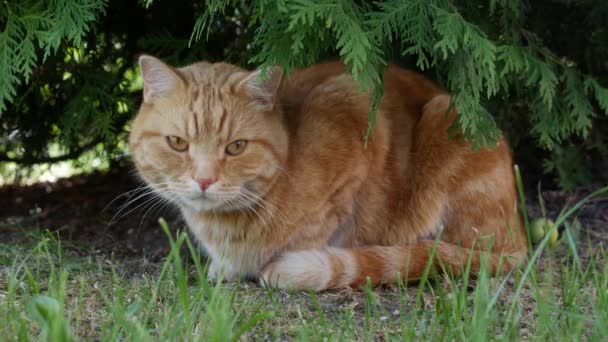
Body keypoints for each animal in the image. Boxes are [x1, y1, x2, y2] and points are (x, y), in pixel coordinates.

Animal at [131, 54, 528, 290]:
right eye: (178, 143)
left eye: (236, 147)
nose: (204, 180)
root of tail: (519, 233)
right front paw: (225, 267)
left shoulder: (356, 111)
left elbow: (318, 227)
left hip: (448, 118)